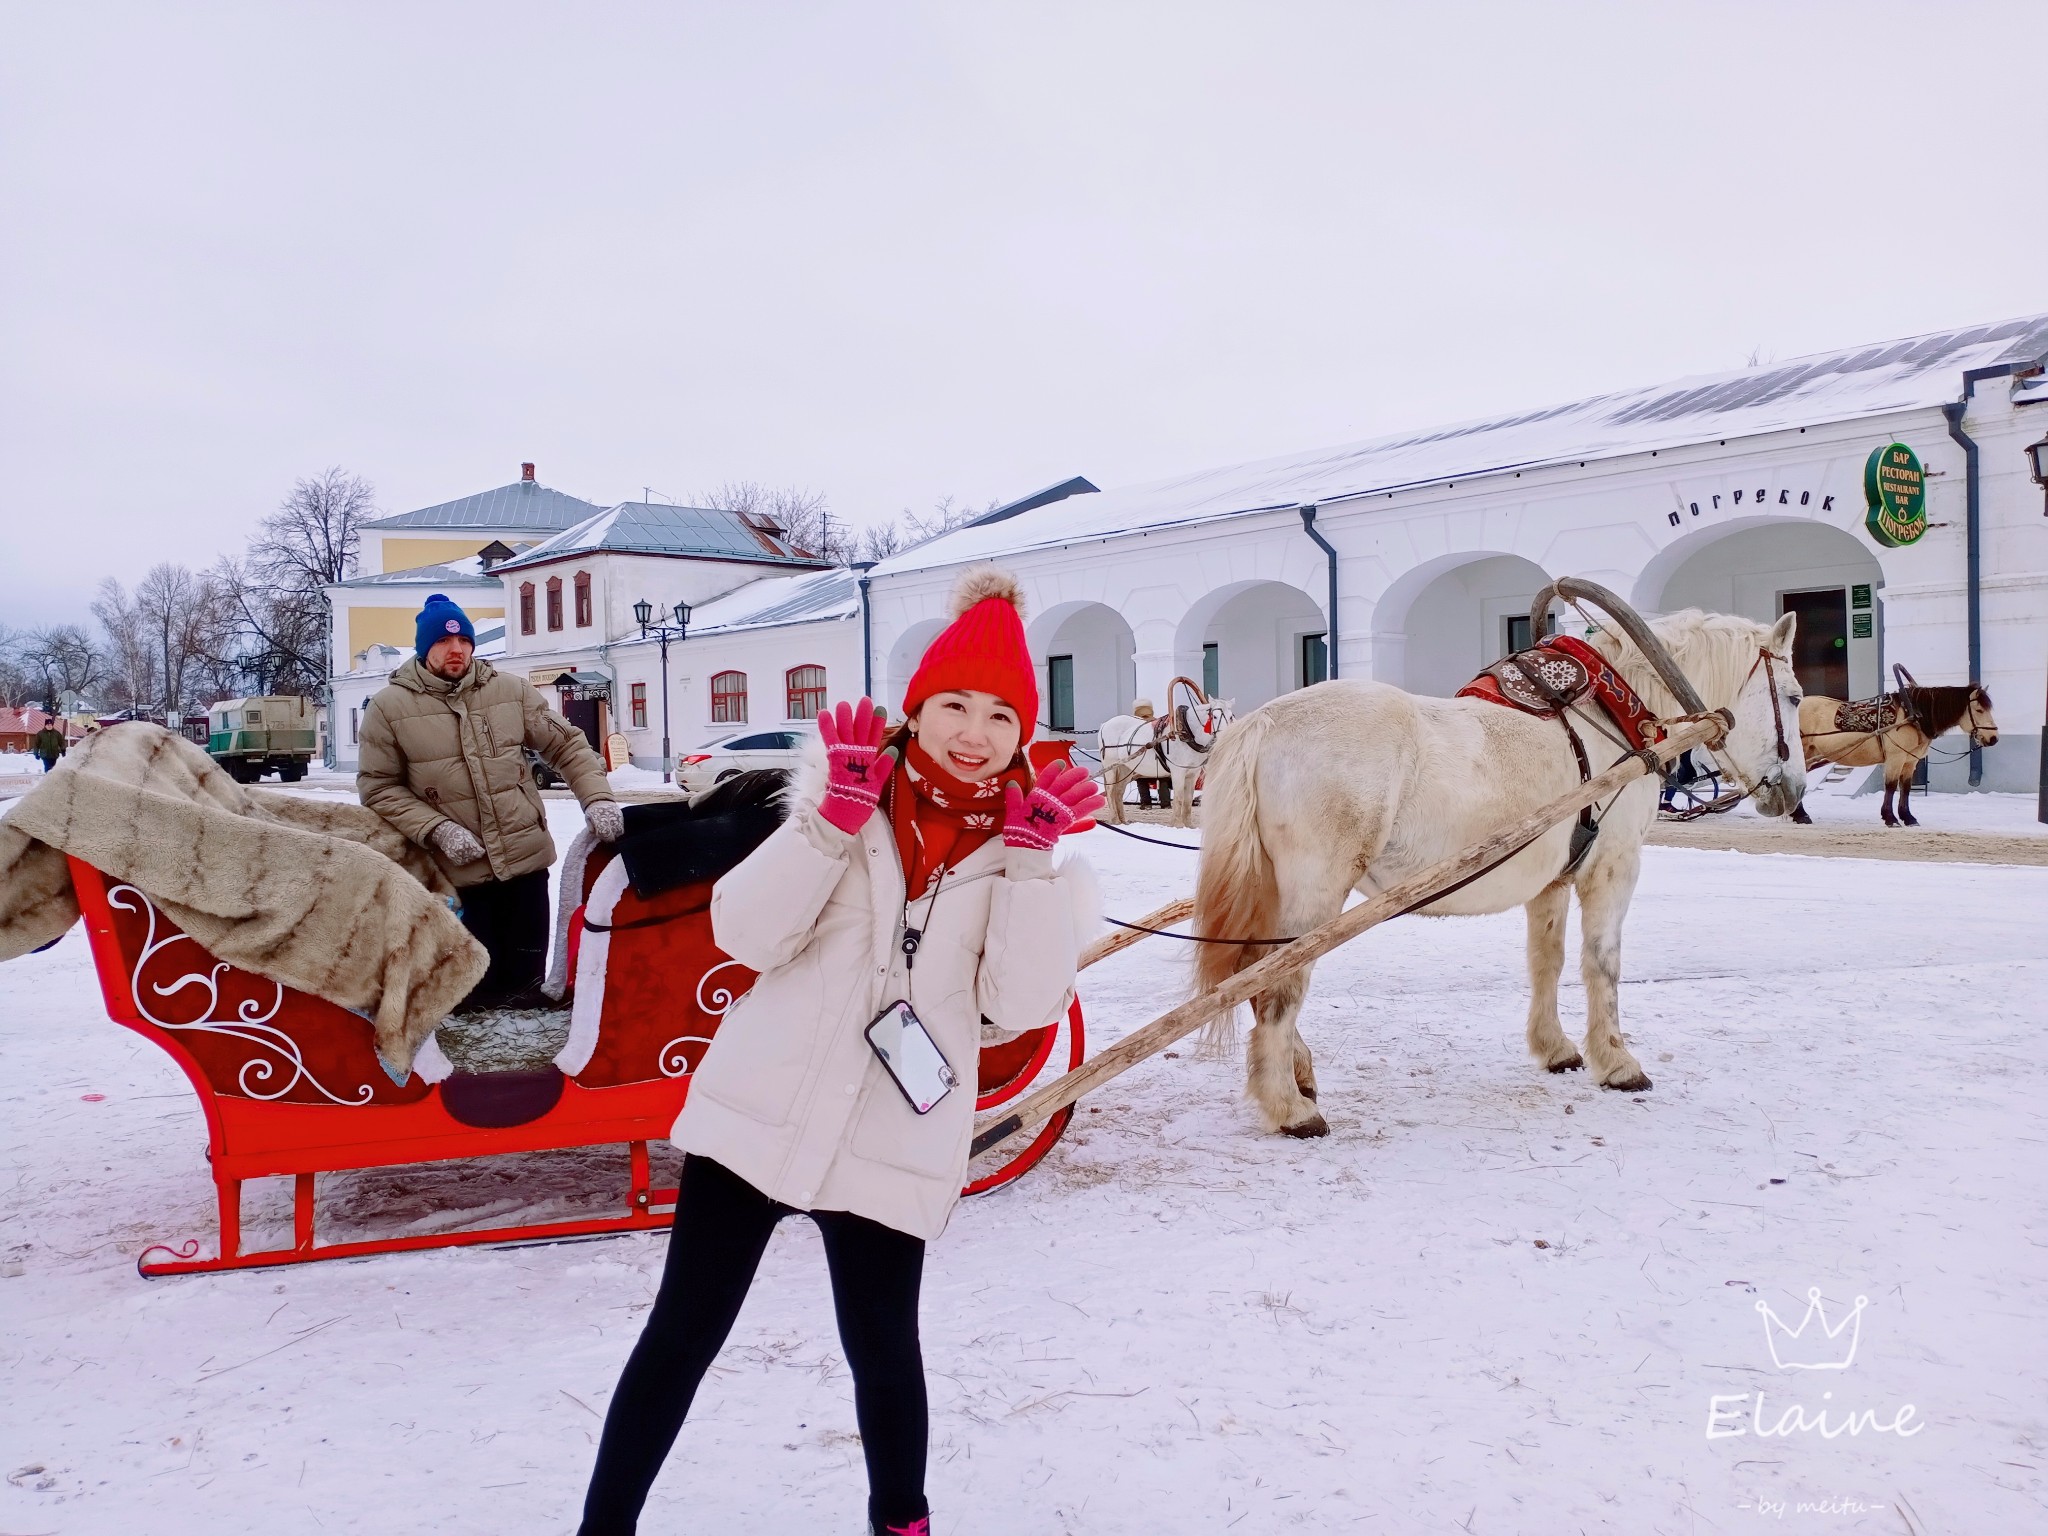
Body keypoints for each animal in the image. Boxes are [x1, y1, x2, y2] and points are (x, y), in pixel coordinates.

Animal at [1196, 614, 1802, 1146]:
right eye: (1795, 696)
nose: (1792, 793)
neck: (1609, 720)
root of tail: (1262, 724)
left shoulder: (1553, 879)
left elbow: (1547, 960)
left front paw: (1556, 1048)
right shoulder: (1614, 865)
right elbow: (1602, 963)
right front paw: (1618, 1061)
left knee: (1252, 971)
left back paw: (1298, 1076)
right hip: (1316, 885)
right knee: (1279, 982)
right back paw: (1289, 1107)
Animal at [1794, 679, 1998, 831]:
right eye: (1979, 710)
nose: (1994, 738)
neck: (1913, 715)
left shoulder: (1910, 761)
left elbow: (1905, 788)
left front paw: (1908, 817)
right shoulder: (1896, 758)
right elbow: (1891, 786)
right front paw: (1890, 818)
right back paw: (1800, 814)